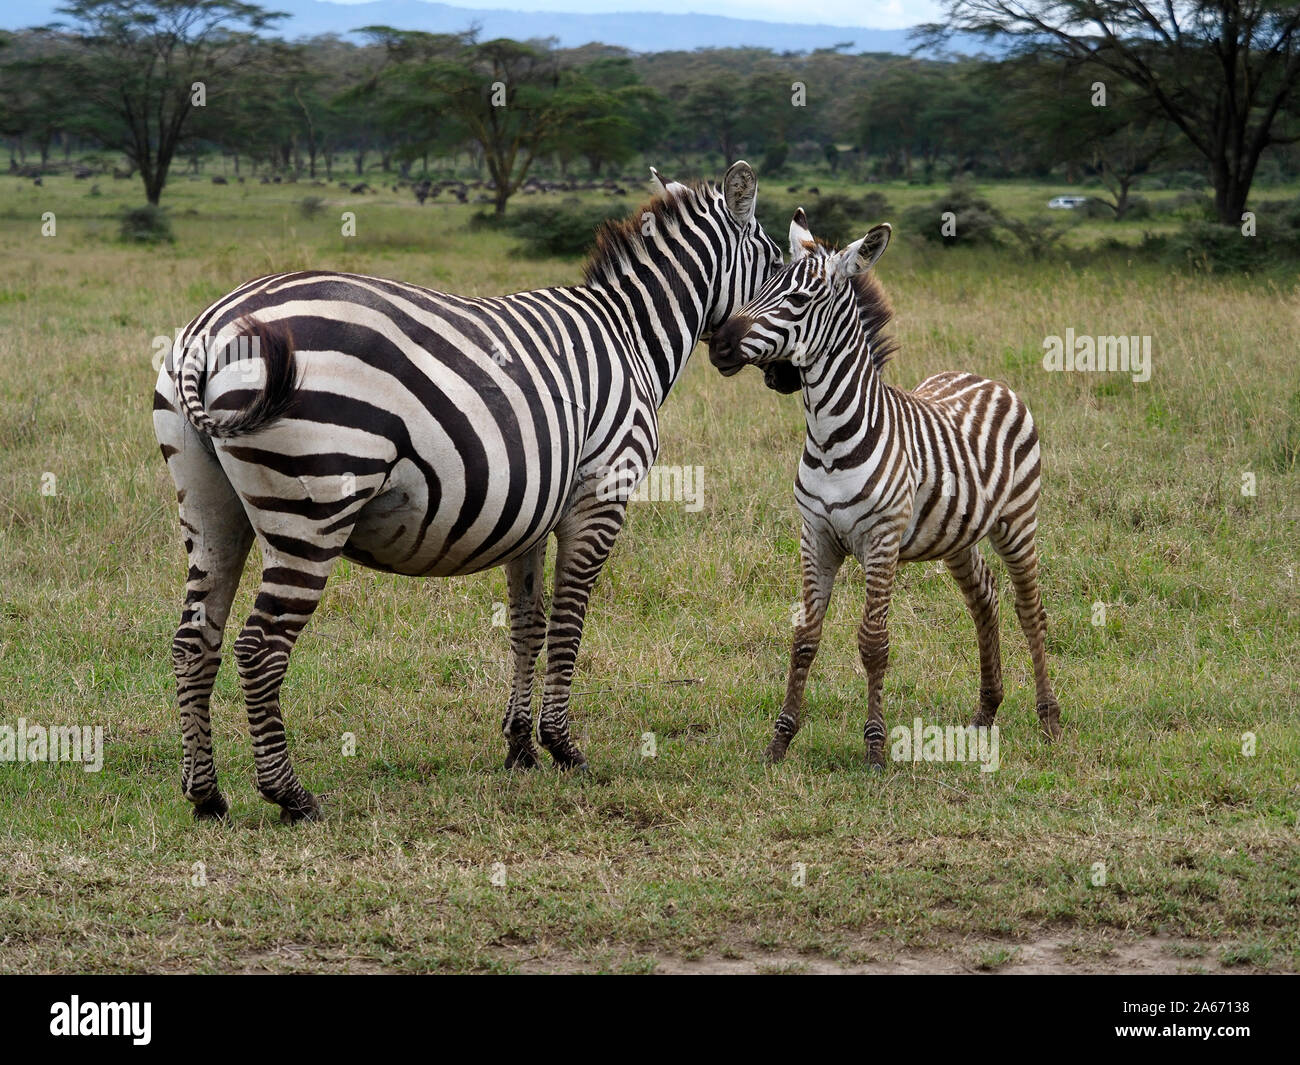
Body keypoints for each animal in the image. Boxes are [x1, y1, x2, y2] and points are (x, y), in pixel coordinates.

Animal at [152, 162, 780, 821]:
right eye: (776, 260)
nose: (740, 357)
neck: (630, 334)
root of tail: (209, 332)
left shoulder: (535, 507)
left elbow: (528, 623)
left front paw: (520, 746)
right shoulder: (601, 490)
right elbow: (569, 619)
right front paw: (562, 746)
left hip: (210, 504)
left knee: (194, 640)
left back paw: (206, 795)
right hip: (313, 506)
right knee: (260, 647)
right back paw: (290, 795)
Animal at [707, 211, 1060, 769]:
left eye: (799, 299)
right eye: (762, 286)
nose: (718, 343)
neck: (829, 438)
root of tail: (986, 379)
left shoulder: (881, 539)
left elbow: (873, 643)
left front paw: (874, 747)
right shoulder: (815, 535)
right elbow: (804, 638)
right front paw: (780, 740)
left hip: (1017, 522)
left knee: (1031, 610)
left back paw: (1049, 721)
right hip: (956, 534)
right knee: (985, 599)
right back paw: (985, 713)